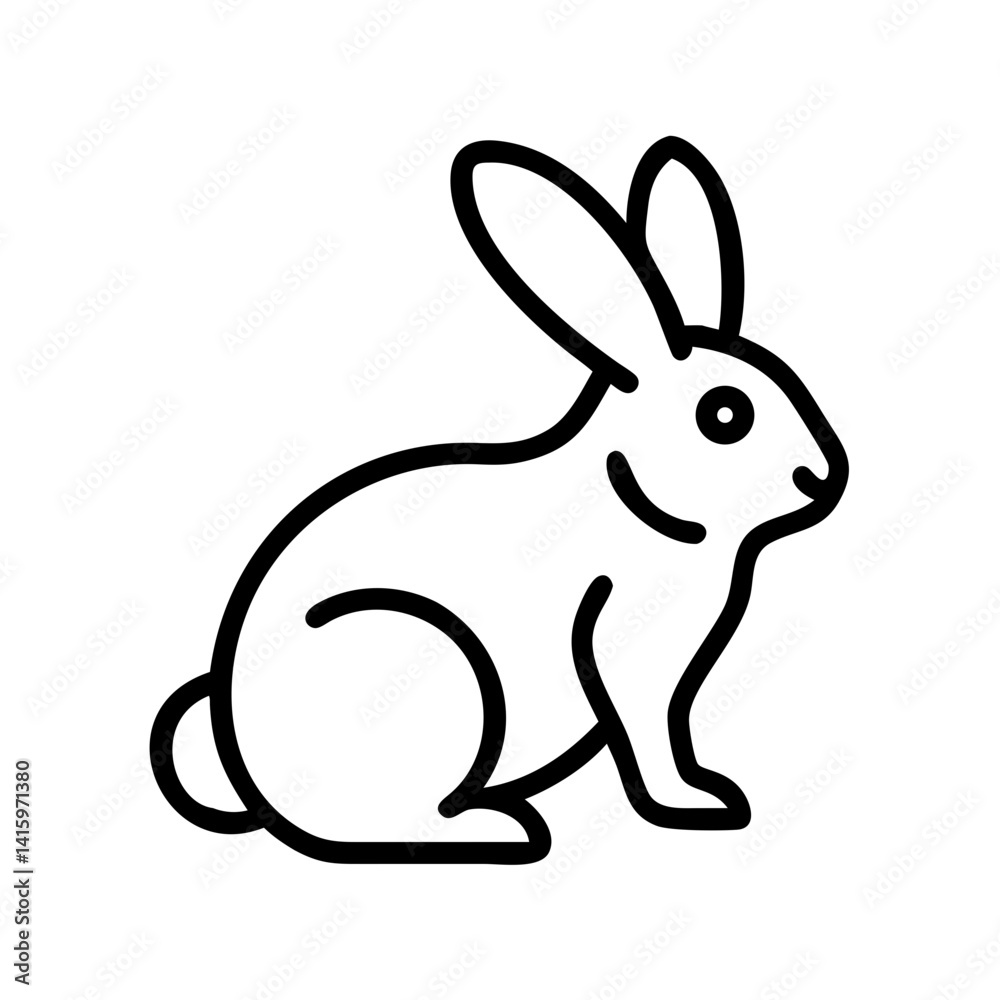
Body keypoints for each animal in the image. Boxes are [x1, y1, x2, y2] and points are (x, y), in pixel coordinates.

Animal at [150, 136, 847, 865]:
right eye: (724, 415)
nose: (821, 479)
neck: (632, 495)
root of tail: (249, 775)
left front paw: (701, 791)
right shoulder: (619, 648)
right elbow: (644, 728)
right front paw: (687, 807)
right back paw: (498, 831)